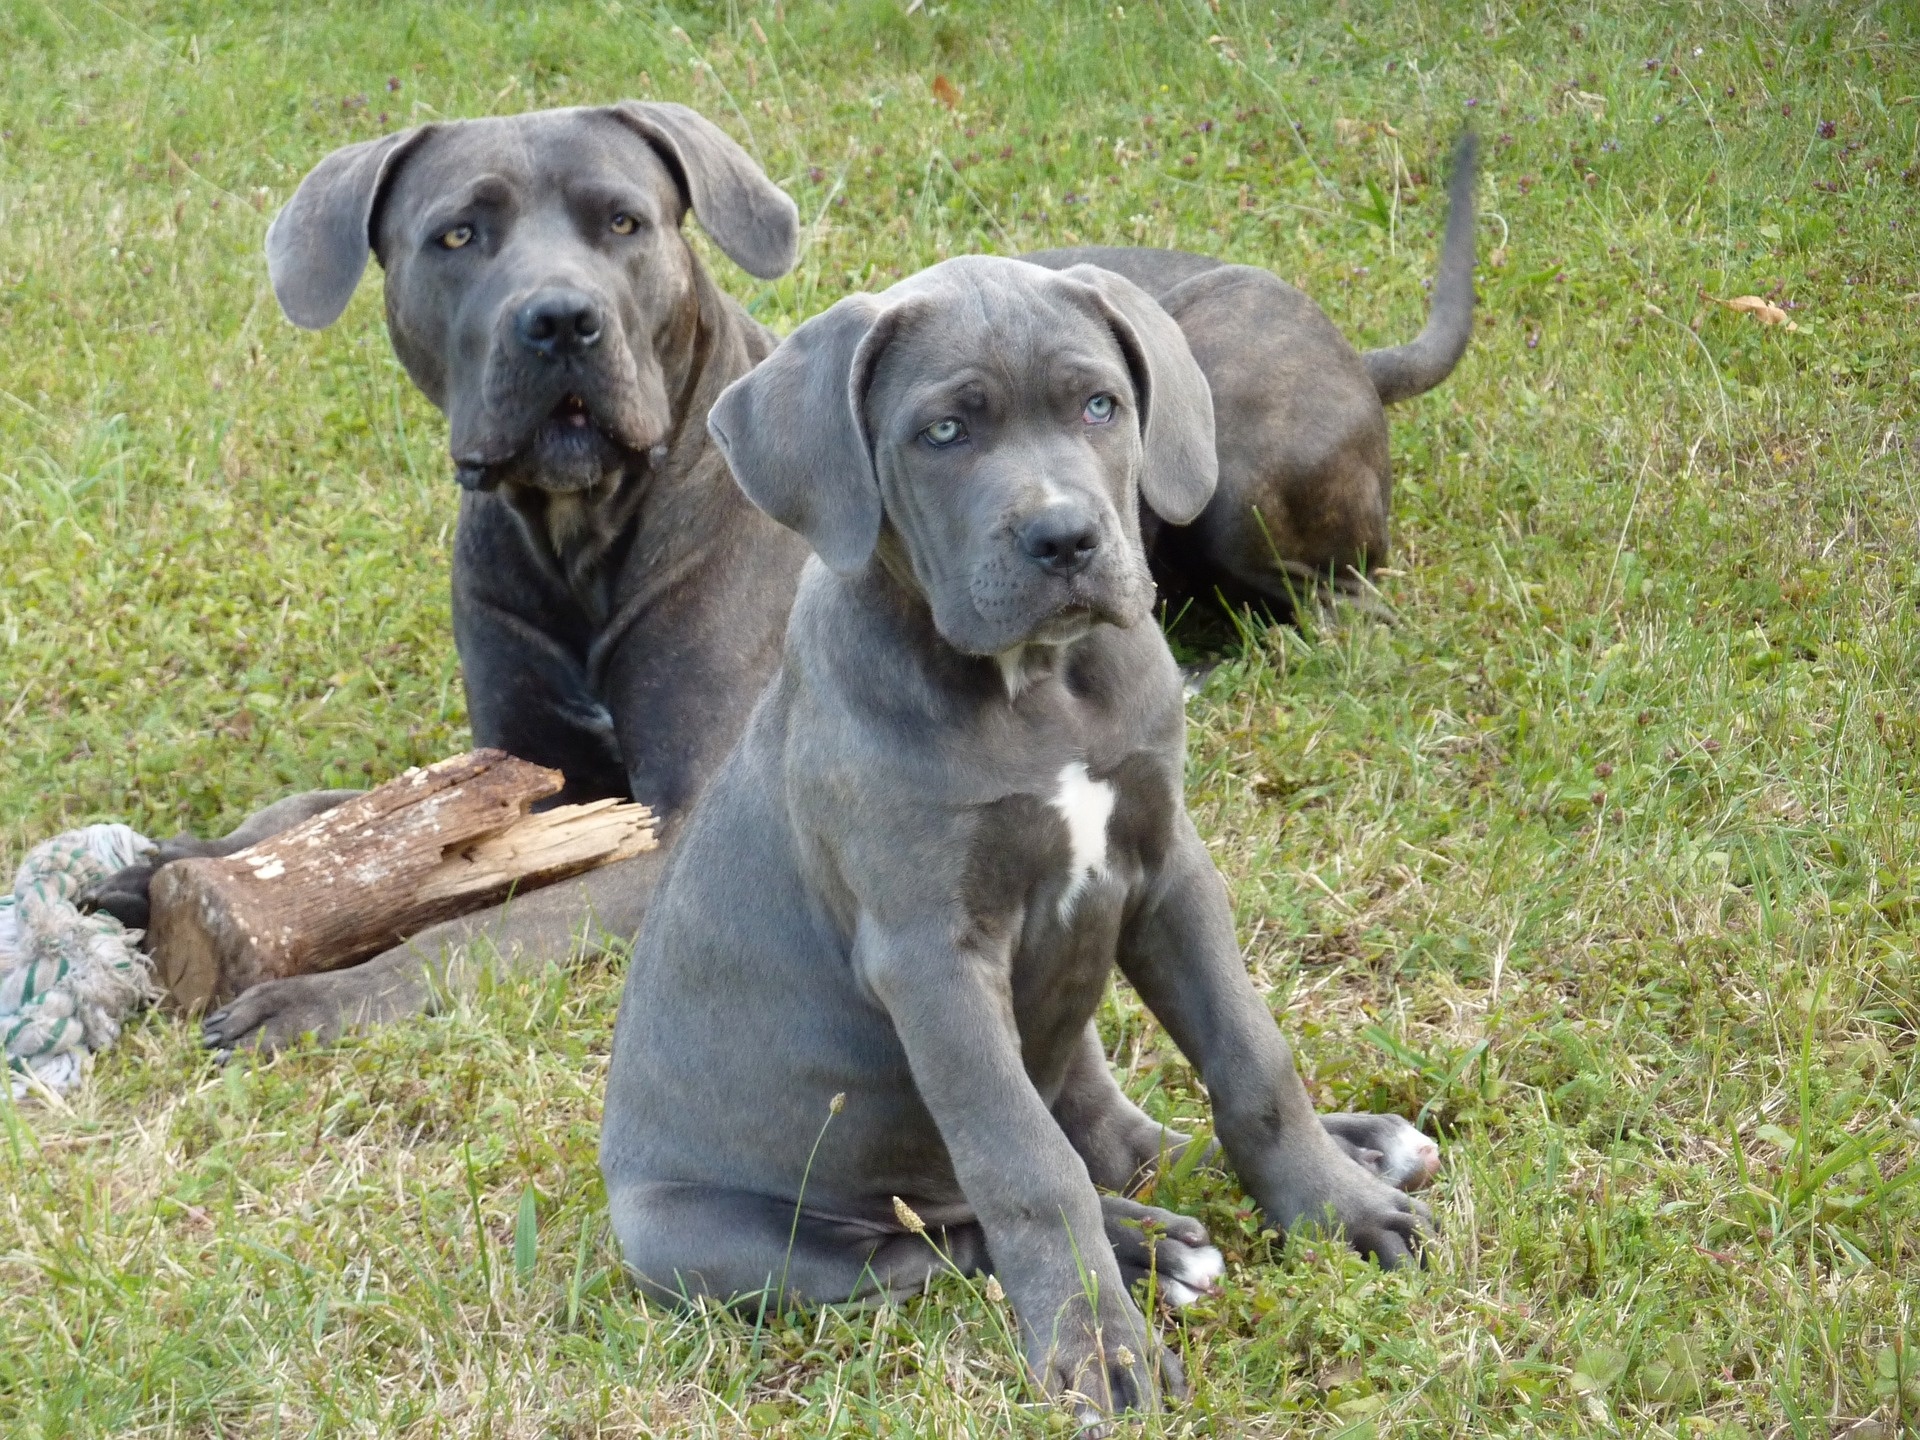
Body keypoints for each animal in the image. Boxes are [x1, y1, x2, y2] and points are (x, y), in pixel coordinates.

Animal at [599, 257, 1428, 1420]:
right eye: (944, 431)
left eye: (1100, 406)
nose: (1067, 538)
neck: (1038, 690)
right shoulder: (933, 958)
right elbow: (1025, 1169)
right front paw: (1099, 1347)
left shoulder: (1169, 871)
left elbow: (1251, 1058)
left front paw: (1333, 1208)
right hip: (720, 1240)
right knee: (941, 1238)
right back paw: (1151, 1253)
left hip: (1068, 1023)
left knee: (1115, 1139)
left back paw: (1340, 1159)